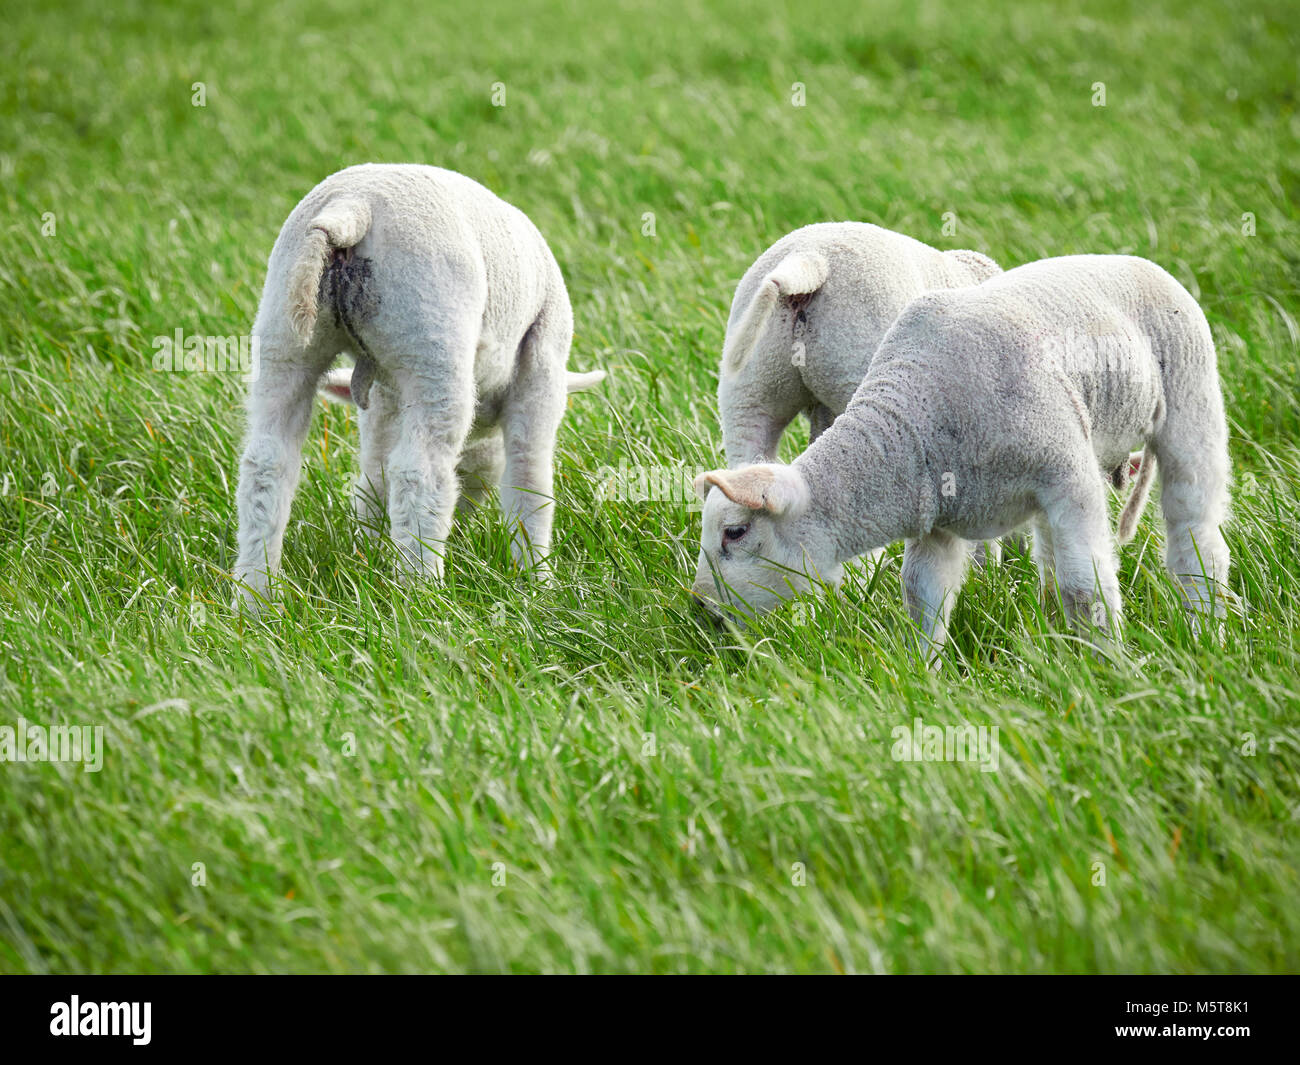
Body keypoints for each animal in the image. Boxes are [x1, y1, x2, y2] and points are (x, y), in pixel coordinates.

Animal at [232, 163, 604, 610]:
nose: (463, 523)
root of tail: (353, 207)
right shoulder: (542, 359)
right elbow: (530, 480)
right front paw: (538, 582)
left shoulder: (382, 402)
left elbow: (373, 478)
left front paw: (369, 554)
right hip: (432, 334)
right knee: (419, 472)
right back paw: (422, 593)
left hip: (283, 331)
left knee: (267, 465)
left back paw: (256, 598)